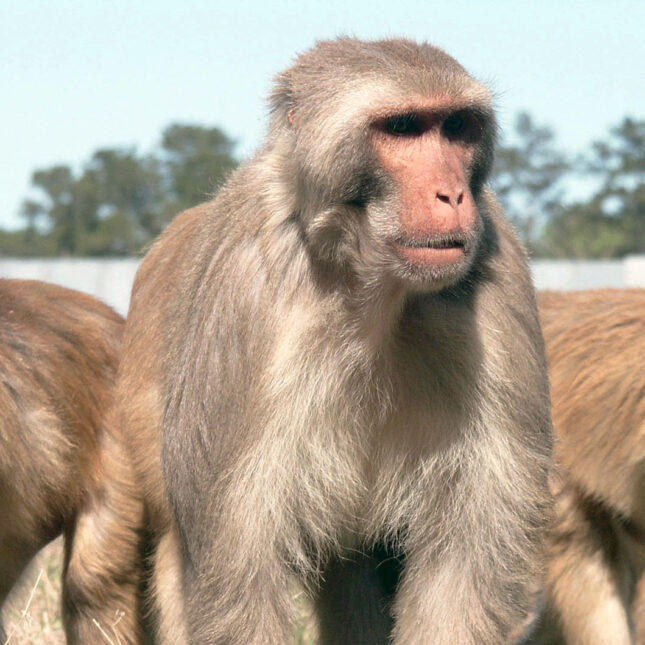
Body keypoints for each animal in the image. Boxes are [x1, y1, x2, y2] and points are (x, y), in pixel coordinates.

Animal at [114, 38, 553, 644]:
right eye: (402, 128)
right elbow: (238, 575)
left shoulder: (497, 265)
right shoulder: (247, 292)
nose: (453, 194)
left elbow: (466, 566)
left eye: (457, 127)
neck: (372, 291)